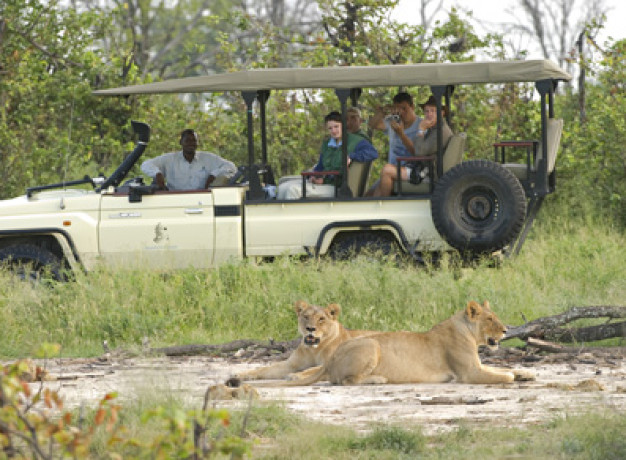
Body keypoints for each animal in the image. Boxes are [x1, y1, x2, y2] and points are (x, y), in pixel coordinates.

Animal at [232, 298, 372, 380]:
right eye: (306, 316)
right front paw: (240, 375)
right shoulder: (290, 364)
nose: (310, 328)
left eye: (321, 319)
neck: (314, 349)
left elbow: (312, 369)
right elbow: (264, 369)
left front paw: (296, 376)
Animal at [272, 300, 532, 386]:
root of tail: (330, 359)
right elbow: (502, 376)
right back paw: (377, 380)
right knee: (346, 381)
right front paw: (511, 376)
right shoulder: (469, 373)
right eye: (490, 319)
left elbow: (497, 366)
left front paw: (525, 374)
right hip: (372, 345)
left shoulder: (476, 365)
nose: (506, 330)